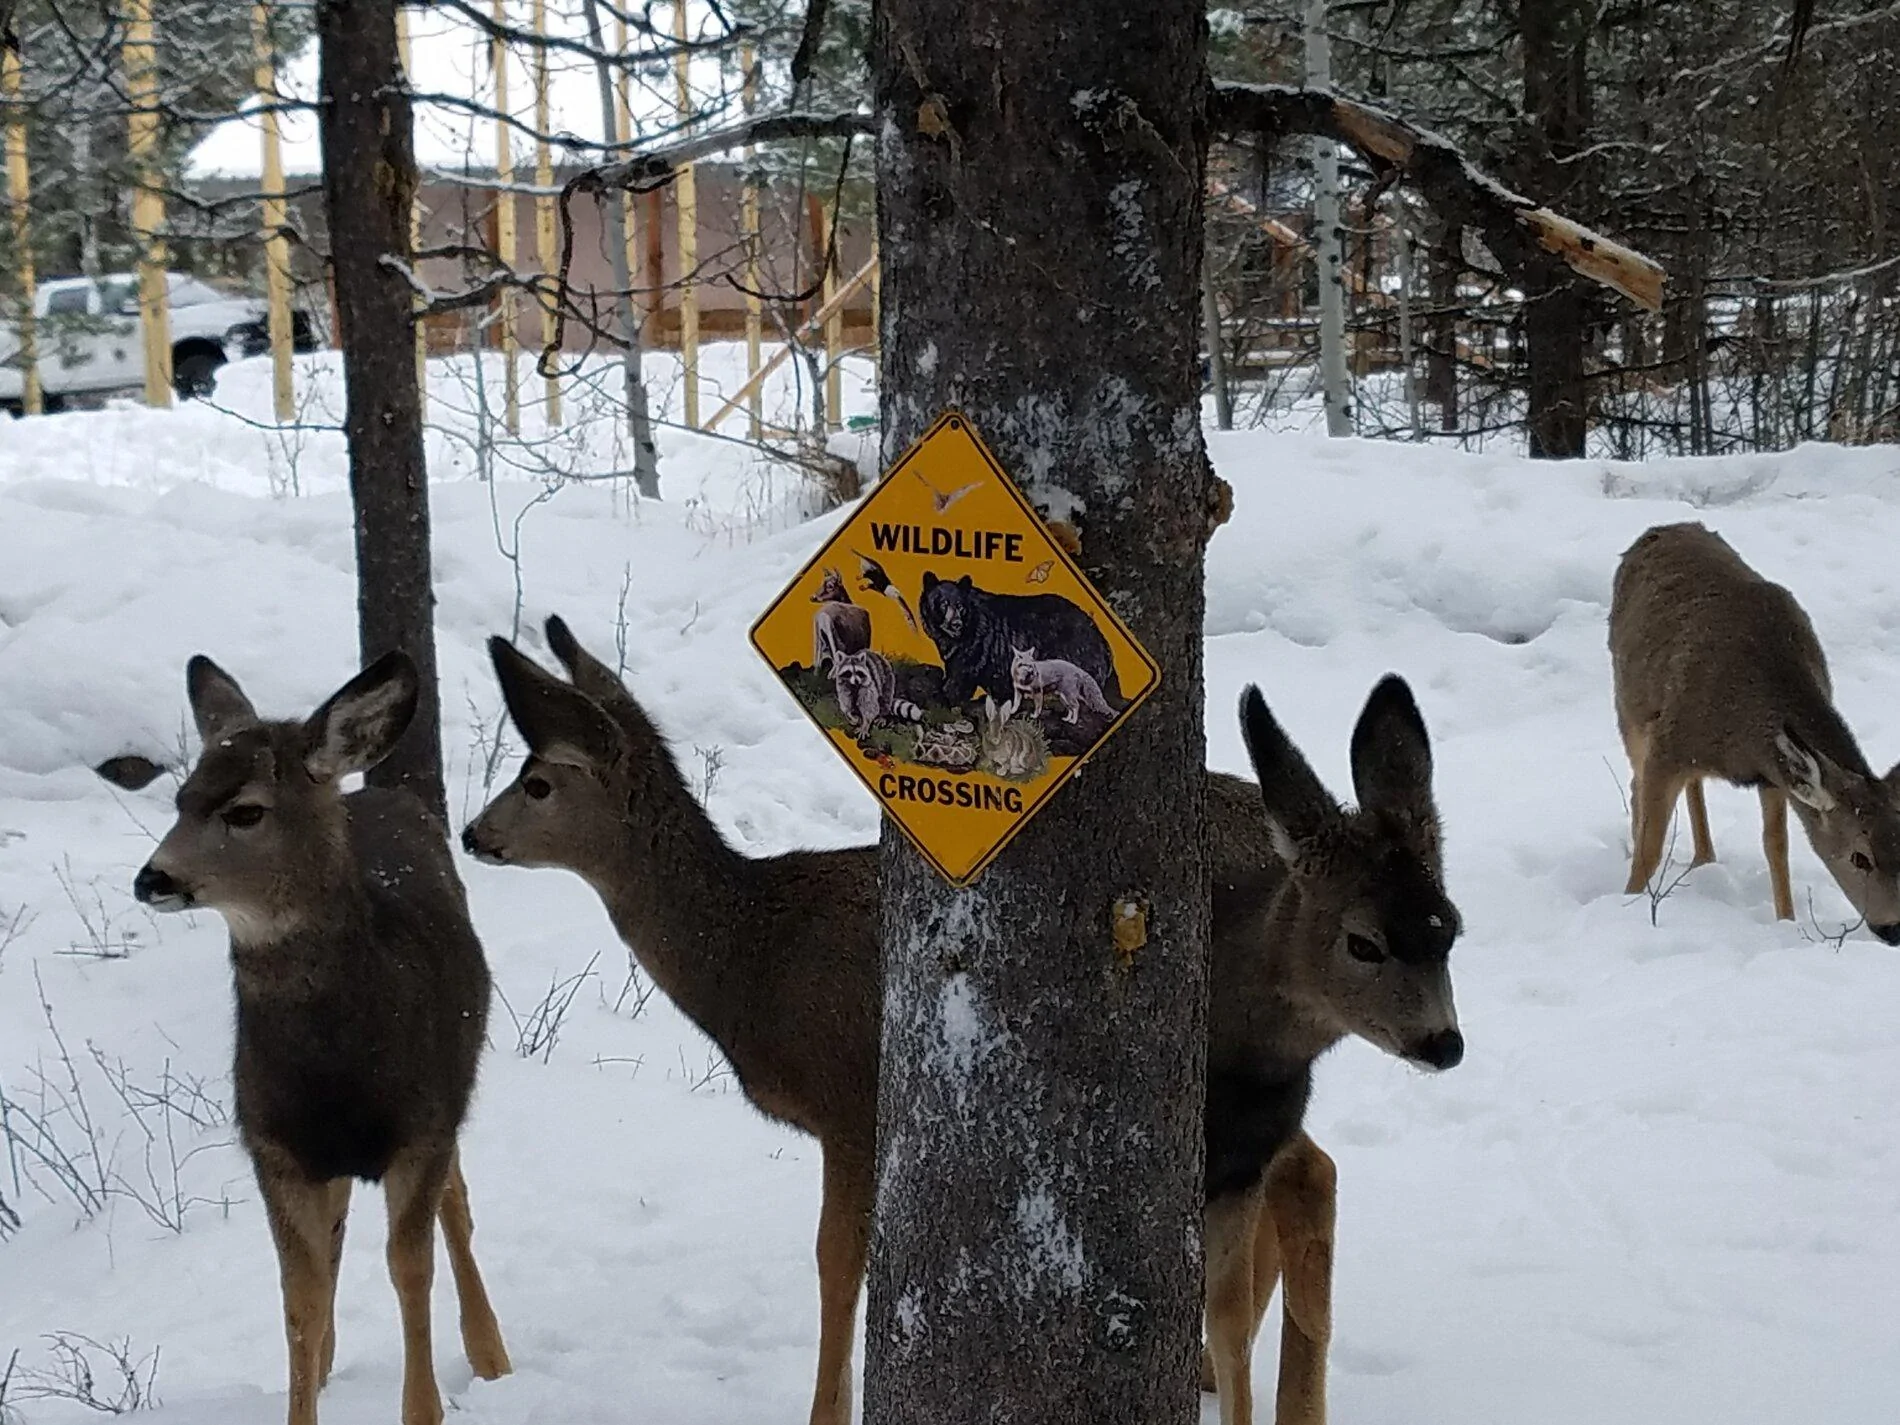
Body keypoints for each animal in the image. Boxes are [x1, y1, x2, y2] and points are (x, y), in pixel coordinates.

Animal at [96, 652, 511, 1425]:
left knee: (457, 1209)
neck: (337, 1066)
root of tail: (381, 794)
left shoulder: (421, 1127)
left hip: (451, 1090)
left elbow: (410, 1267)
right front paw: (305, 1388)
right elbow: (301, 1294)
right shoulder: (275, 1146)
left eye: (245, 810)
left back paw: (491, 1354)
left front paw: (424, 1407)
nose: (151, 878)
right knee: (343, 1230)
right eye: (181, 799)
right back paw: (325, 1365)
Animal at [462, 615, 1463, 1425]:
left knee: (1305, 1173)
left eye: (539, 781)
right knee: (1305, 1170)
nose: (474, 834)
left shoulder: (851, 1101)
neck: (752, 959)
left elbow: (838, 1268)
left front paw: (827, 1409)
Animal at [1610, 521, 1900, 940]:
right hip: (1630, 708)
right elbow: (1650, 846)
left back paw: (1705, 858)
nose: (1893, 930)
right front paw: (1629, 902)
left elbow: (1776, 846)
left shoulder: (1772, 773)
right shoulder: (1669, 745)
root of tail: (1662, 528)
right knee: (1636, 785)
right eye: (1860, 858)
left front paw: (1786, 921)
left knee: (1692, 785)